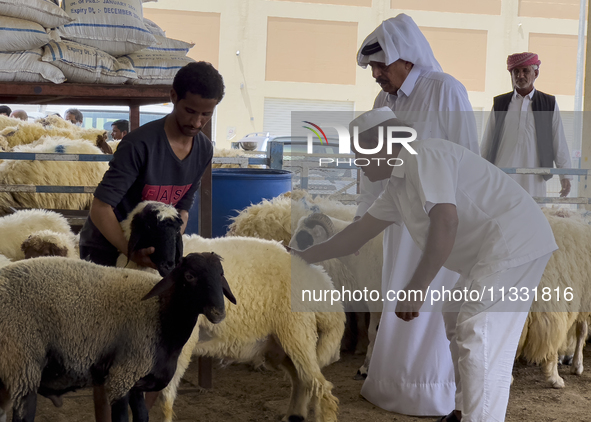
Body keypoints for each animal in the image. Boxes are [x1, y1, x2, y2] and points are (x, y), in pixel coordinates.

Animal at [0, 252, 236, 420]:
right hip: (23, 364)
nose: (218, 312)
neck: (161, 314)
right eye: (189, 276)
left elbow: (142, 416)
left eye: (221, 274)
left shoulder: (137, 381)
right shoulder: (121, 377)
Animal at [516, 209, 591, 390]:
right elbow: (581, 331)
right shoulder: (582, 295)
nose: (567, 360)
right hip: (549, 301)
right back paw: (555, 378)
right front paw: (577, 365)